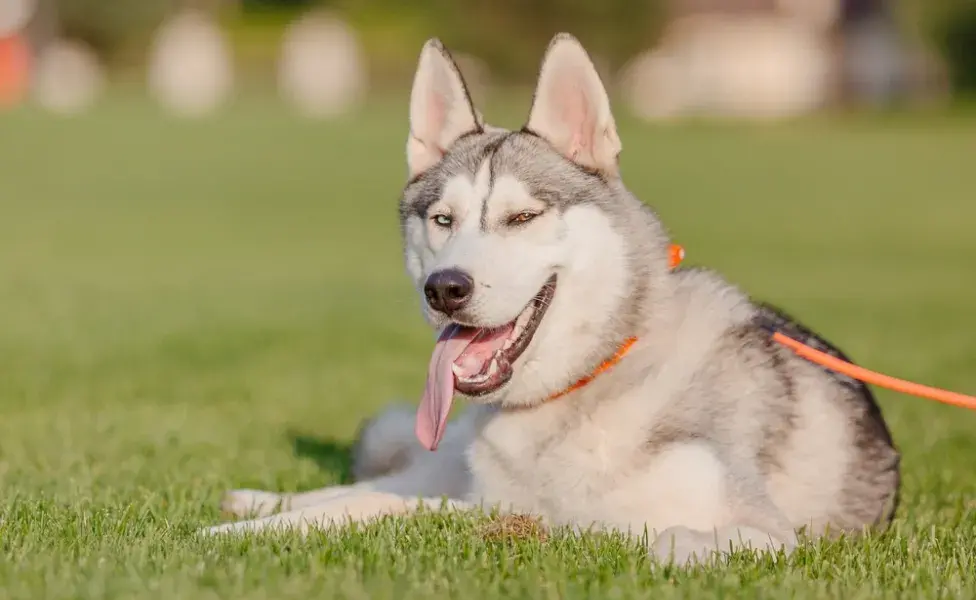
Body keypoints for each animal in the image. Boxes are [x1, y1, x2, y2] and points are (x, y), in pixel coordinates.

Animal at [206, 32, 900, 564]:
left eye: (521, 218)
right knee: (385, 479)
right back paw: (253, 503)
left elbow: (658, 538)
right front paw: (246, 529)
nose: (445, 288)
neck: (591, 380)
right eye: (442, 220)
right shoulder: (489, 499)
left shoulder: (766, 533)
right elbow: (382, 501)